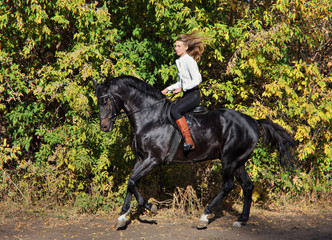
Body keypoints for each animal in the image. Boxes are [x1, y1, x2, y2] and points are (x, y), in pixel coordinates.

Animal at [92, 75, 296, 229]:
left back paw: (204, 216)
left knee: (228, 185)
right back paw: (241, 220)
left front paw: (151, 207)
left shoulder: (153, 159)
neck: (150, 117)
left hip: (228, 160)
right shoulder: (141, 159)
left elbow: (132, 181)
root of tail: (253, 121)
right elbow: (131, 182)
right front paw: (122, 217)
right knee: (247, 186)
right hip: (239, 162)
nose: (104, 127)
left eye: (104, 100)